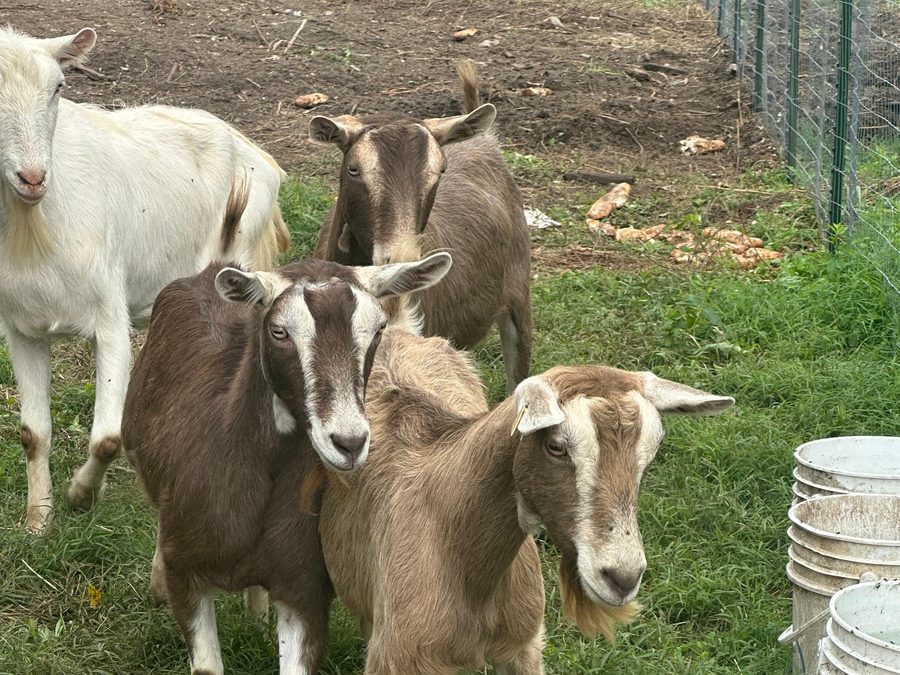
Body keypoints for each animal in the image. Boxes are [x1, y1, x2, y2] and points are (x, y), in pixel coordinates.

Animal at [0, 26, 290, 532]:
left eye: (59, 87)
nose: (32, 177)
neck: (39, 221)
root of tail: (261, 157)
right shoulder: (22, 326)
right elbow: (33, 433)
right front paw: (38, 522)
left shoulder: (109, 316)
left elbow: (108, 437)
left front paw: (81, 496)